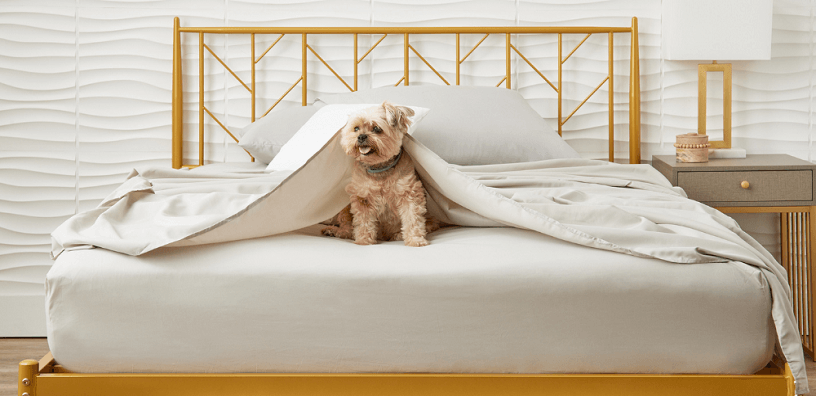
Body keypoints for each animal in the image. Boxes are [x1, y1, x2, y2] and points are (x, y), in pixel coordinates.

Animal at [320, 100, 440, 246]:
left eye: (377, 129)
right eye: (356, 128)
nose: (361, 136)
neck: (379, 169)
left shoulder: (409, 194)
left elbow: (413, 219)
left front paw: (415, 240)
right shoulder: (362, 198)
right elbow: (364, 223)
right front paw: (363, 241)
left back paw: (398, 235)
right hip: (345, 209)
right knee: (347, 227)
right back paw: (334, 231)